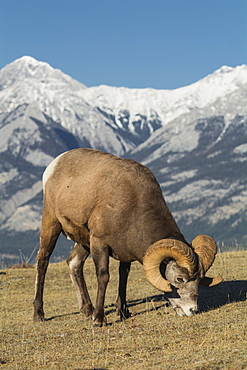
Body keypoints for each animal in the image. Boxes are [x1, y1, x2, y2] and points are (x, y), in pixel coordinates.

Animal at [33, 149, 222, 326]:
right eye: (179, 279)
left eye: (199, 279)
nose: (192, 310)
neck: (131, 204)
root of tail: (55, 163)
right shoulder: (100, 243)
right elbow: (104, 276)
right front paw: (99, 319)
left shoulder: (124, 252)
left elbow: (123, 277)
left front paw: (123, 313)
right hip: (52, 223)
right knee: (43, 262)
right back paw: (39, 314)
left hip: (84, 240)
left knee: (74, 263)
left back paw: (87, 310)